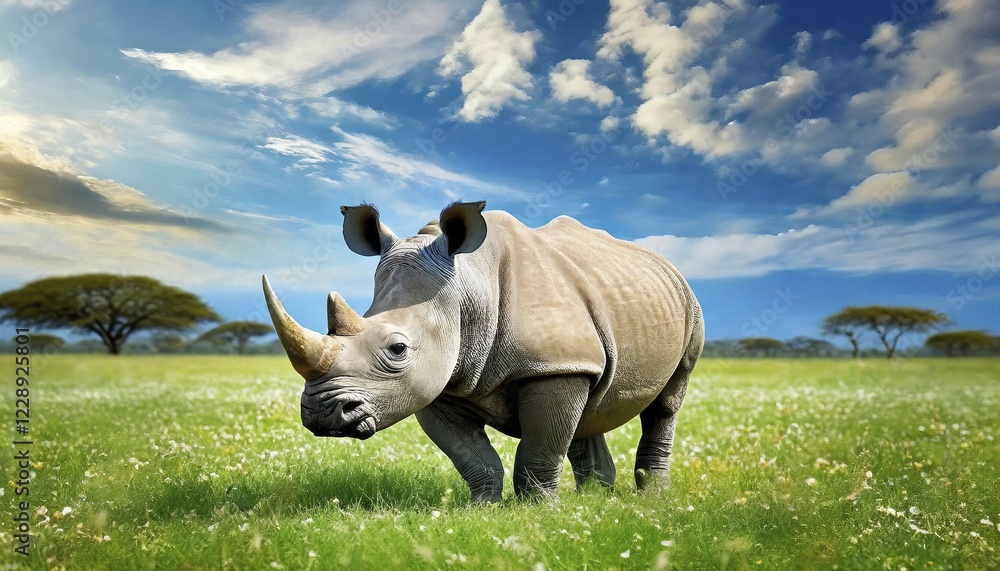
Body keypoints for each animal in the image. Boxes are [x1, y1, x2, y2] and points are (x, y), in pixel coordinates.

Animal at [262, 201, 703, 501]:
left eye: (398, 348)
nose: (322, 414)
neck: (467, 289)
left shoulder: (551, 365)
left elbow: (539, 450)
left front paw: (539, 512)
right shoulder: (436, 380)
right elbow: (472, 457)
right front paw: (482, 508)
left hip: (687, 305)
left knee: (666, 402)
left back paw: (653, 498)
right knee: (591, 399)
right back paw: (594, 497)